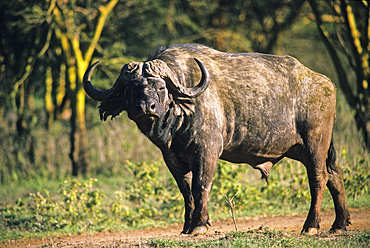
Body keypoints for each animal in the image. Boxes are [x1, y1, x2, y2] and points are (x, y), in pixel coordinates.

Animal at [83, 43, 350, 235]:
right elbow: (186, 190)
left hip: (315, 144)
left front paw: (200, 225)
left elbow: (201, 185)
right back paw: (339, 224)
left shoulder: (207, 151)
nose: (145, 108)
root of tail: (325, 83)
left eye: (160, 88)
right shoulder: (172, 158)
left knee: (318, 179)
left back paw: (311, 226)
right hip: (301, 150)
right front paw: (187, 226)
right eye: (130, 89)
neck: (179, 117)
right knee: (334, 175)